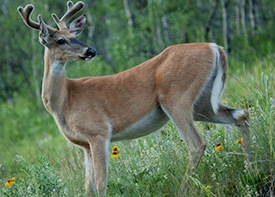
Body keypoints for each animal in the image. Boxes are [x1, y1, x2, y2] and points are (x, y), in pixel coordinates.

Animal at [16, 0, 250, 196]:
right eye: (61, 39)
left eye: (74, 35)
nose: (90, 50)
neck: (65, 100)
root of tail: (215, 47)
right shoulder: (84, 145)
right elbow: (88, 188)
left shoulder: (99, 132)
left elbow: (101, 184)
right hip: (202, 103)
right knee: (241, 115)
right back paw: (250, 168)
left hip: (177, 98)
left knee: (196, 144)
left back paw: (184, 190)